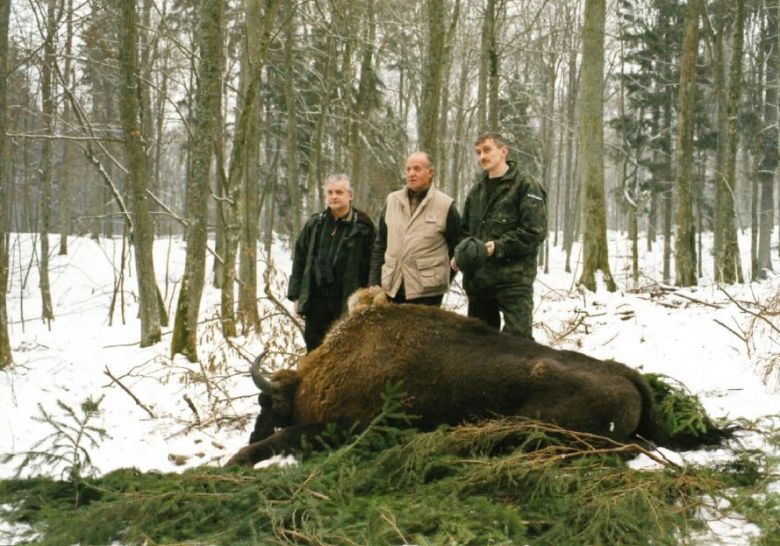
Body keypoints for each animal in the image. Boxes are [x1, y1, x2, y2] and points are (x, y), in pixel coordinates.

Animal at [229, 286, 668, 466]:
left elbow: (287, 436)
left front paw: (237, 460)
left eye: (265, 404)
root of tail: (625, 376)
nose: (249, 436)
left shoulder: (350, 426)